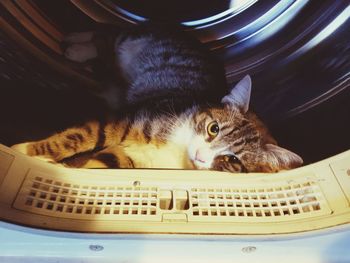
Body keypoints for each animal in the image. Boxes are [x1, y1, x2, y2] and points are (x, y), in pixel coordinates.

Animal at [9, 24, 302, 173]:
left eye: (233, 160)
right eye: (213, 128)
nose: (200, 155)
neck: (179, 151)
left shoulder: (134, 158)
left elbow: (98, 164)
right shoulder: (126, 119)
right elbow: (77, 137)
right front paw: (27, 152)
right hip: (135, 38)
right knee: (107, 32)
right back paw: (77, 45)